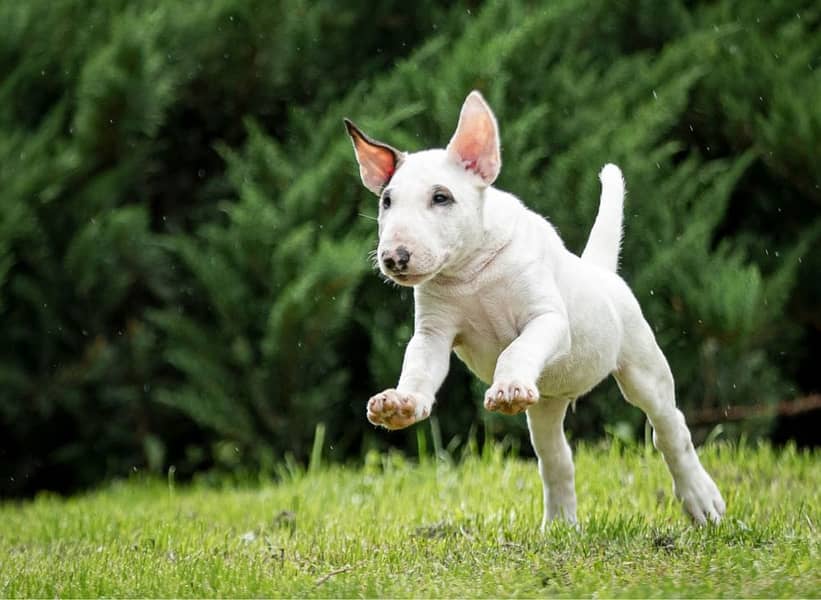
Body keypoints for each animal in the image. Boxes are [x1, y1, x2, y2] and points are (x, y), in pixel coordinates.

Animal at [346, 91, 724, 528]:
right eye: (387, 201)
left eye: (441, 197)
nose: (394, 257)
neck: (470, 272)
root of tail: (602, 273)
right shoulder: (434, 333)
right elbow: (420, 366)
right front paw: (401, 404)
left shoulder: (548, 320)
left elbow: (517, 348)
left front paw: (508, 387)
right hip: (545, 403)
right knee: (556, 458)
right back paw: (561, 525)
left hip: (643, 369)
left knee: (670, 429)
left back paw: (701, 499)